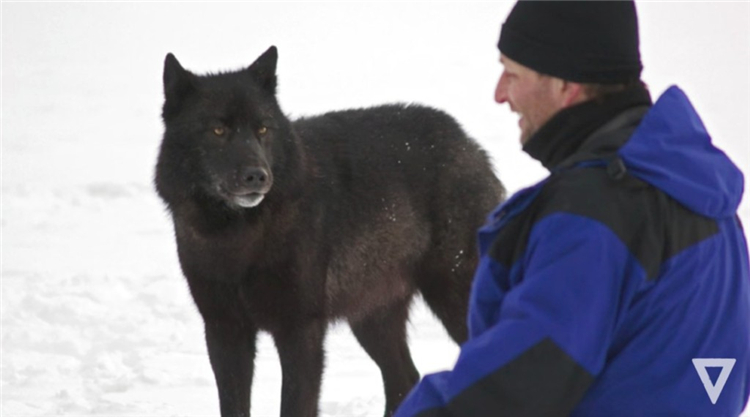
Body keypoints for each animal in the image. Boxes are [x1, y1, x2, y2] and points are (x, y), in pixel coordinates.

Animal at [154, 46, 505, 417]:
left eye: (262, 128)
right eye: (218, 130)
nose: (257, 176)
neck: (238, 239)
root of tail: (468, 143)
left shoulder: (300, 331)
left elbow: (294, 406)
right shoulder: (225, 332)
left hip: (453, 298)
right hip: (371, 317)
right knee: (405, 379)